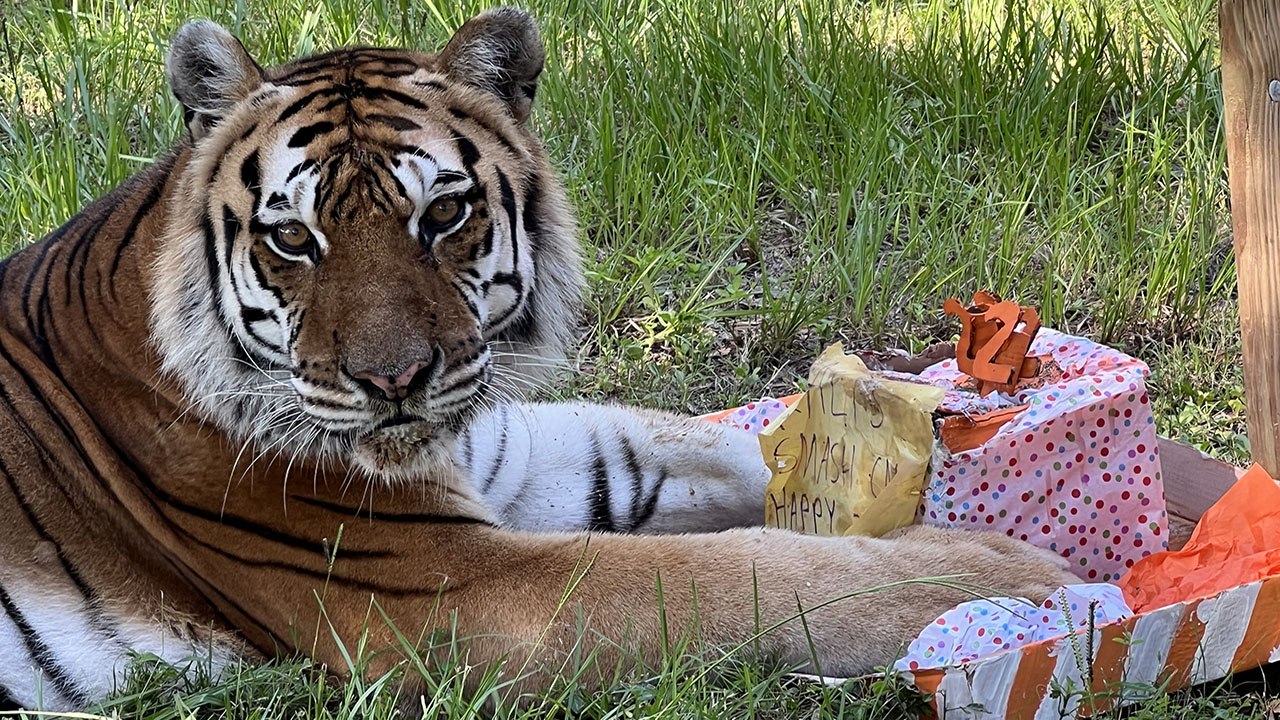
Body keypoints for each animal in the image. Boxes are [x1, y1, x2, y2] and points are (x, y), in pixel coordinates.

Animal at [0, 7, 1077, 711]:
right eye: (294, 239)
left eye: (443, 215)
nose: (393, 381)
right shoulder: (444, 591)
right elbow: (735, 575)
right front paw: (1001, 575)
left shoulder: (508, 455)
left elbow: (708, 449)